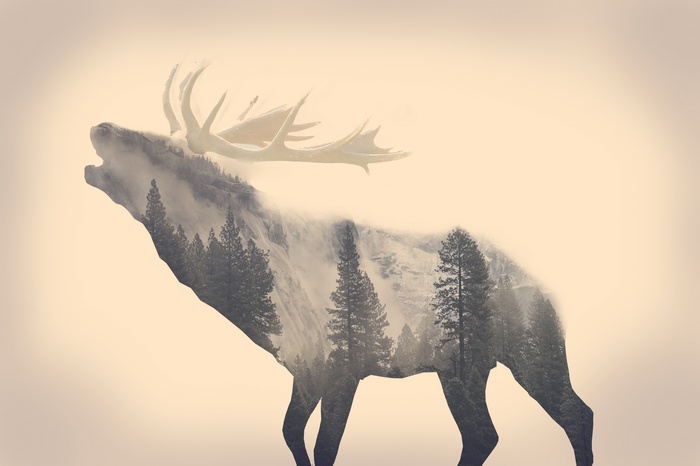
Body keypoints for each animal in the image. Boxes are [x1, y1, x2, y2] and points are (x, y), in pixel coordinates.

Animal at [86, 63, 594, 466]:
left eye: (154, 146)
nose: (100, 127)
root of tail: (549, 291)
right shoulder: (303, 371)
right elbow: (291, 436)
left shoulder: (341, 367)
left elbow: (325, 447)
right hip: (462, 368)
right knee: (484, 435)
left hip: (530, 348)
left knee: (576, 415)